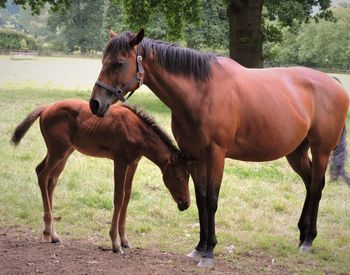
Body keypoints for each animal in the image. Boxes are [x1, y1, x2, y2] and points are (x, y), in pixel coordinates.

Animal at [10, 98, 190, 254]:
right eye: (178, 176)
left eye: (188, 176)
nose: (186, 204)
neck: (135, 130)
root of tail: (47, 108)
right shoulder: (120, 161)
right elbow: (119, 197)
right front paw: (115, 243)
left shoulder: (133, 163)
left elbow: (127, 196)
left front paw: (125, 240)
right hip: (58, 150)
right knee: (42, 174)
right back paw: (48, 231)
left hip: (65, 152)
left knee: (50, 180)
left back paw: (54, 234)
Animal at [89, 30, 350, 268]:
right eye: (103, 61)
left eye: (119, 63)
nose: (95, 104)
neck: (201, 93)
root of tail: (334, 83)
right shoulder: (194, 156)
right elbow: (202, 200)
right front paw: (200, 247)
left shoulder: (216, 155)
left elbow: (212, 201)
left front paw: (210, 252)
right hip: (295, 153)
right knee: (309, 184)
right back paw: (302, 234)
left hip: (321, 150)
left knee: (316, 187)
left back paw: (308, 240)